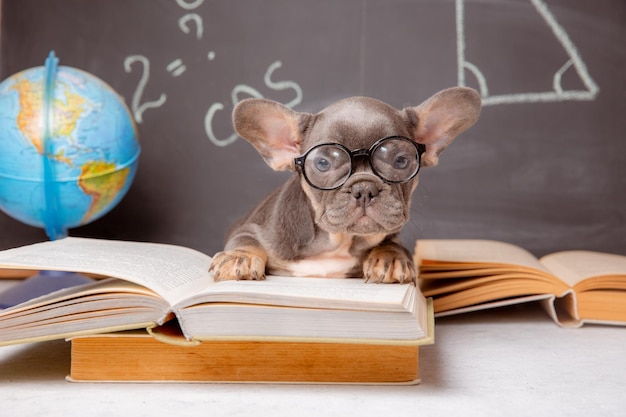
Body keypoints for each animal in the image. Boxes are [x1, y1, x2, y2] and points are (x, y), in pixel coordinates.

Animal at [208, 87, 478, 282]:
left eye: (401, 161)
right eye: (323, 163)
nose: (364, 189)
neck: (338, 244)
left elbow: (393, 243)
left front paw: (390, 258)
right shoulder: (250, 228)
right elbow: (245, 241)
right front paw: (238, 258)